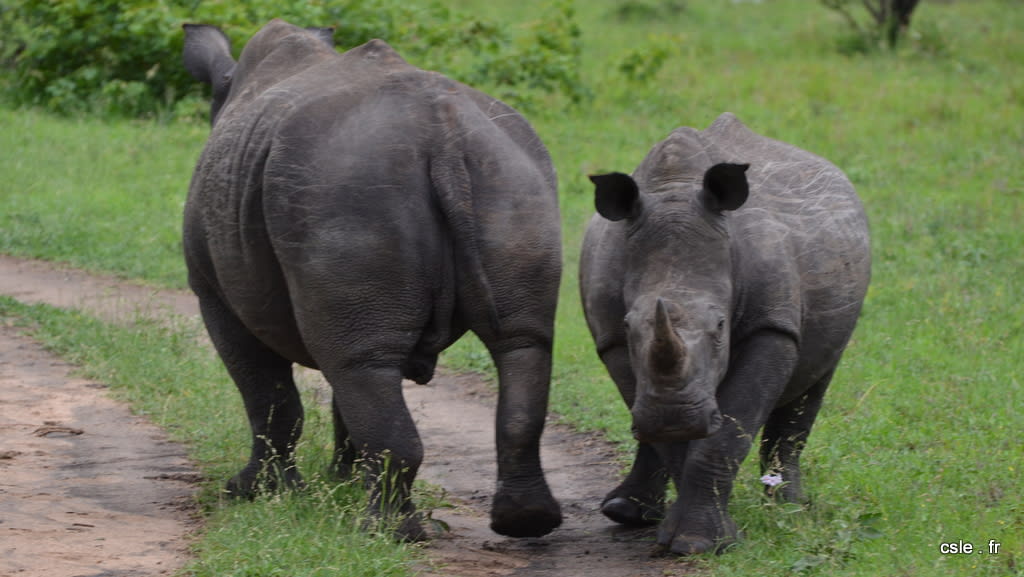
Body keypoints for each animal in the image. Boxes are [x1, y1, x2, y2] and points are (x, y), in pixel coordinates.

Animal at [181, 18, 565, 541]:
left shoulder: (213, 294)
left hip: (346, 188)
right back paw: (525, 521)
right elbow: (340, 393)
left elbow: (268, 396)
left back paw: (386, 532)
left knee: (359, 364)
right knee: (518, 343)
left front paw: (256, 494)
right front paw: (337, 483)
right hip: (511, 176)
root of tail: (442, 131)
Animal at [581, 112, 868, 553]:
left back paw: (790, 511)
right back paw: (624, 512)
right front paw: (692, 537)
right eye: (629, 326)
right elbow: (675, 441)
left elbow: (730, 431)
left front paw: (701, 543)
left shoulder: (771, 326)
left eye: (719, 326)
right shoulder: (610, 335)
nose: (674, 415)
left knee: (816, 380)